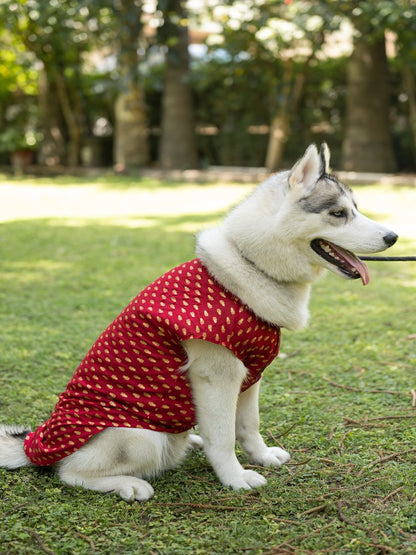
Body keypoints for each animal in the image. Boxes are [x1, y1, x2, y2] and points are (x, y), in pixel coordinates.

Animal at [0, 146, 396, 502]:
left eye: (356, 209)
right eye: (338, 213)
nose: (393, 237)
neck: (251, 264)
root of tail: (34, 443)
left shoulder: (250, 376)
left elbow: (248, 426)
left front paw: (261, 456)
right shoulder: (217, 377)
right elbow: (223, 437)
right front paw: (234, 478)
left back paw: (190, 440)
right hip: (140, 438)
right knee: (68, 473)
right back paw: (129, 485)